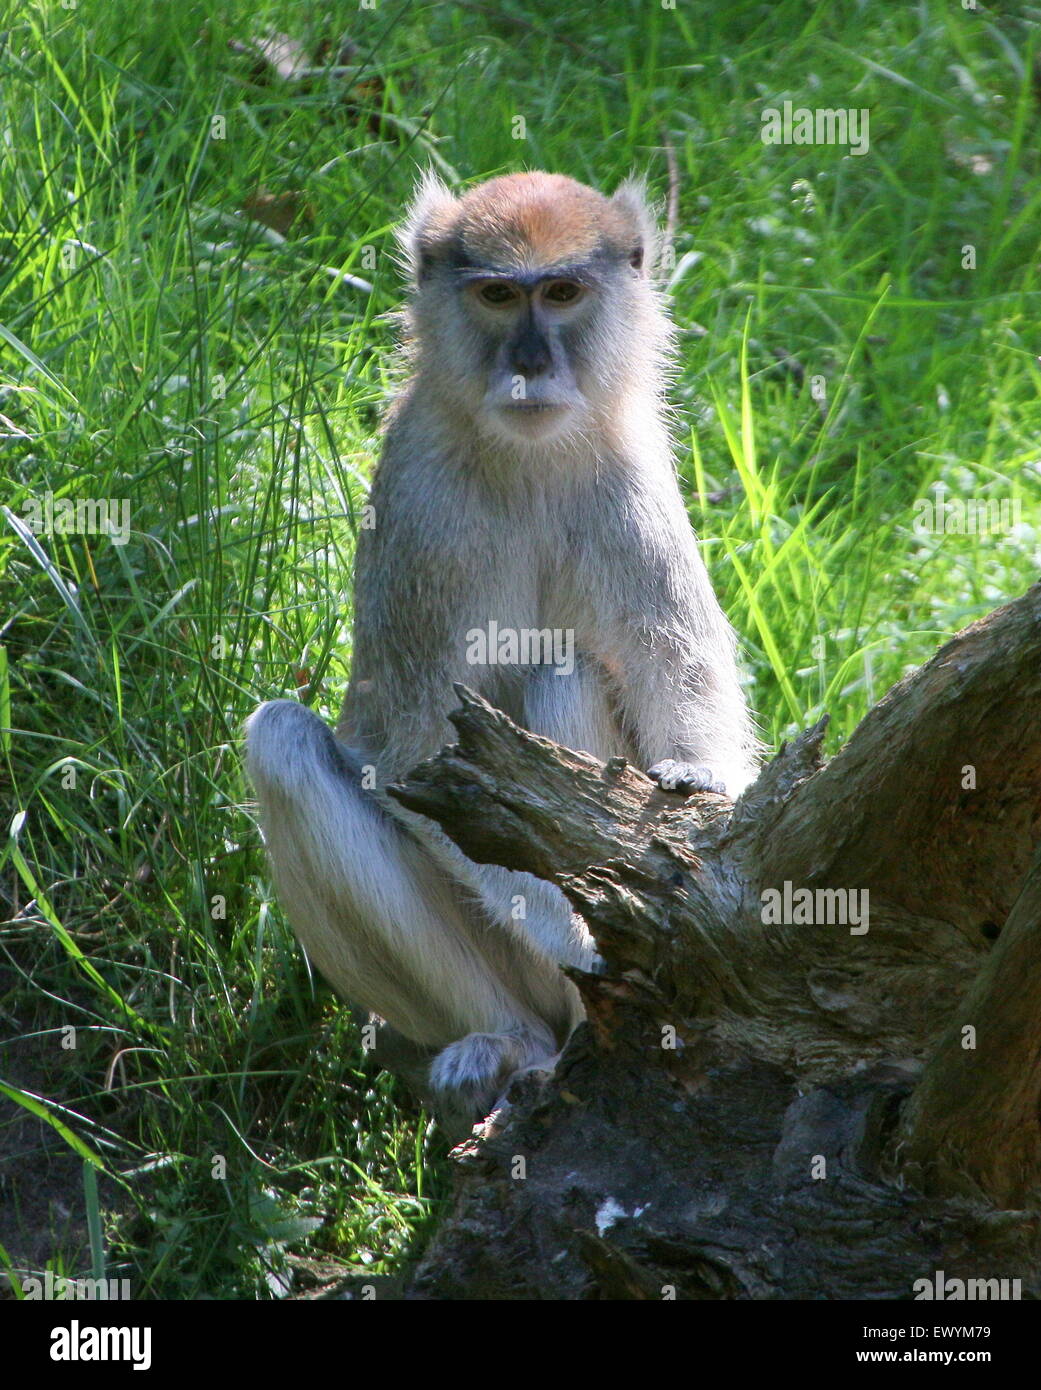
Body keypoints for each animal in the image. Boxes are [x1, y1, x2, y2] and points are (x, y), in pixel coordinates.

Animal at [246, 170, 758, 1135]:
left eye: (559, 293)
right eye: (494, 296)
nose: (528, 363)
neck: (524, 459)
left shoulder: (628, 485)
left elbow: (682, 686)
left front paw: (698, 792)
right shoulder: (422, 515)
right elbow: (411, 758)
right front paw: (578, 932)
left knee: (567, 668)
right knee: (282, 743)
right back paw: (507, 1044)